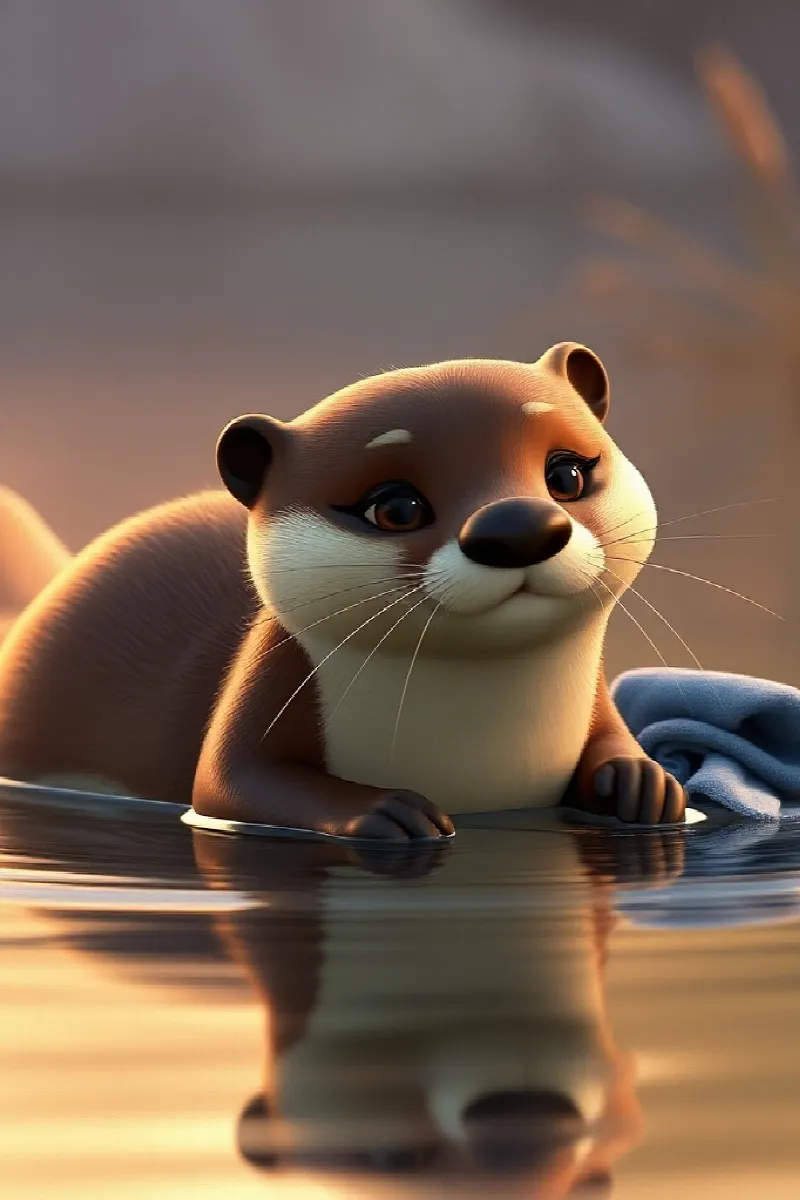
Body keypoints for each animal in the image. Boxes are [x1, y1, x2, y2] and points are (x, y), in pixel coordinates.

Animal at [0, 343, 686, 839]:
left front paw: (639, 781)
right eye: (397, 508)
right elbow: (229, 785)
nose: (516, 526)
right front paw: (385, 810)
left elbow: (615, 737)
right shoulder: (270, 677)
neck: (478, 750)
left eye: (566, 474)